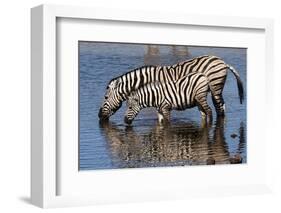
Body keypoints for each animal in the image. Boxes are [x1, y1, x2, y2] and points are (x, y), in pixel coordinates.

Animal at [98, 55, 243, 120]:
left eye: (105, 97)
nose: (99, 116)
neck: (148, 80)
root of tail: (221, 61)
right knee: (222, 106)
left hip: (215, 87)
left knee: (219, 107)